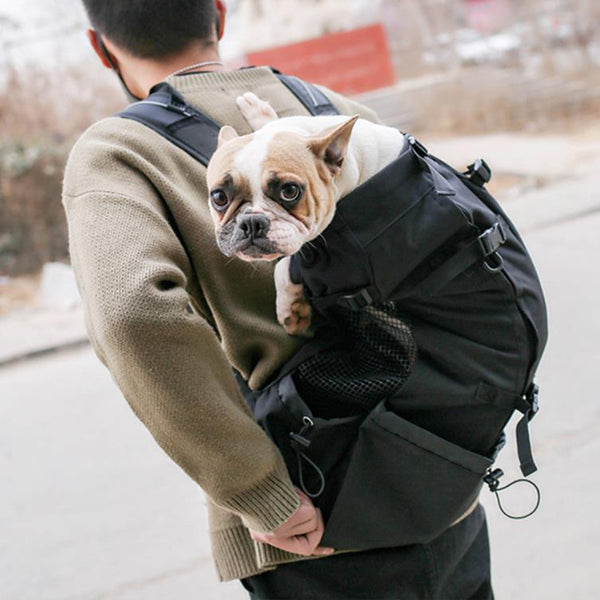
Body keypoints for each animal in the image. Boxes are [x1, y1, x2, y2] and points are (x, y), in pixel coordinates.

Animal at [206, 94, 408, 338]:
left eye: (290, 191)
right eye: (219, 197)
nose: (252, 222)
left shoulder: (344, 264)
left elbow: (285, 265)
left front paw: (291, 310)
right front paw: (258, 111)